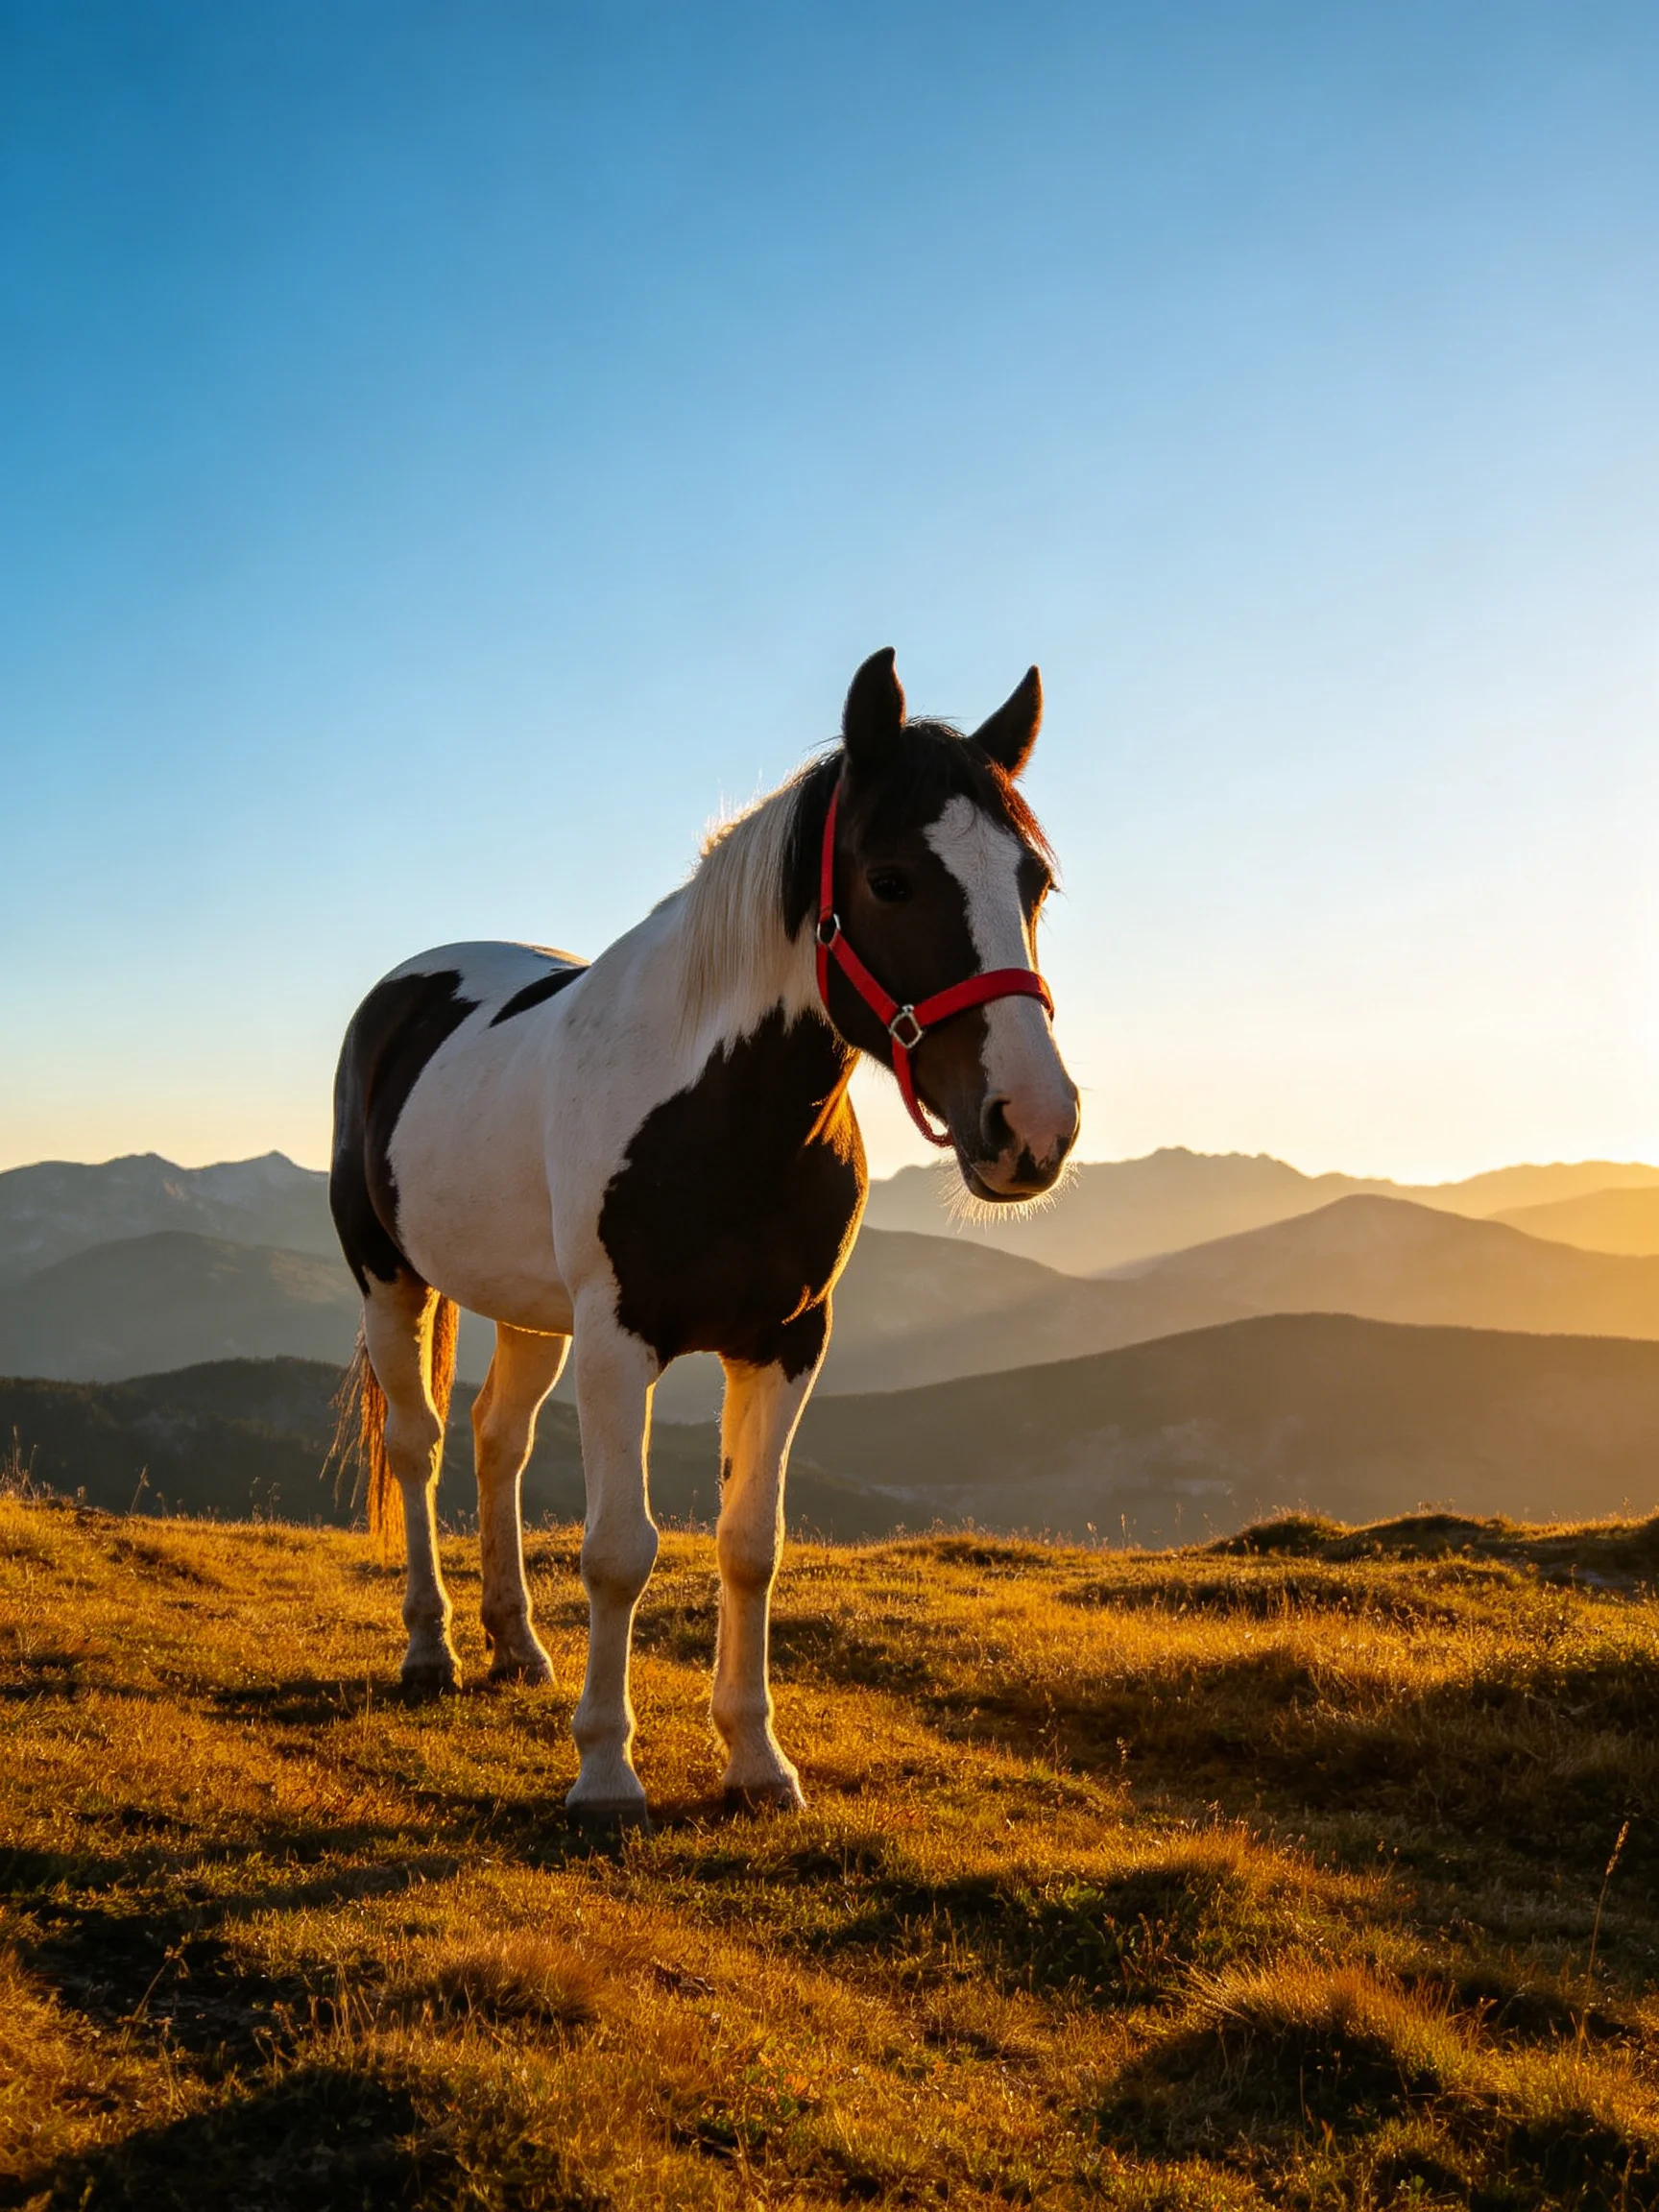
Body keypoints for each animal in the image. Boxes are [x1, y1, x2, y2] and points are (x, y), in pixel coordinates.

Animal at [329, 646, 1079, 1823]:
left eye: (1033, 882)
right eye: (890, 880)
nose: (1034, 1127)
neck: (723, 1111)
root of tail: (404, 989)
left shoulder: (786, 1342)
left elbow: (749, 1545)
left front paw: (757, 1760)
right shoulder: (619, 1341)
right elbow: (617, 1552)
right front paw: (604, 1772)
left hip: (531, 1311)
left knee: (498, 1441)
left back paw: (515, 1646)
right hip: (389, 1277)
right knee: (420, 1444)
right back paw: (430, 1649)